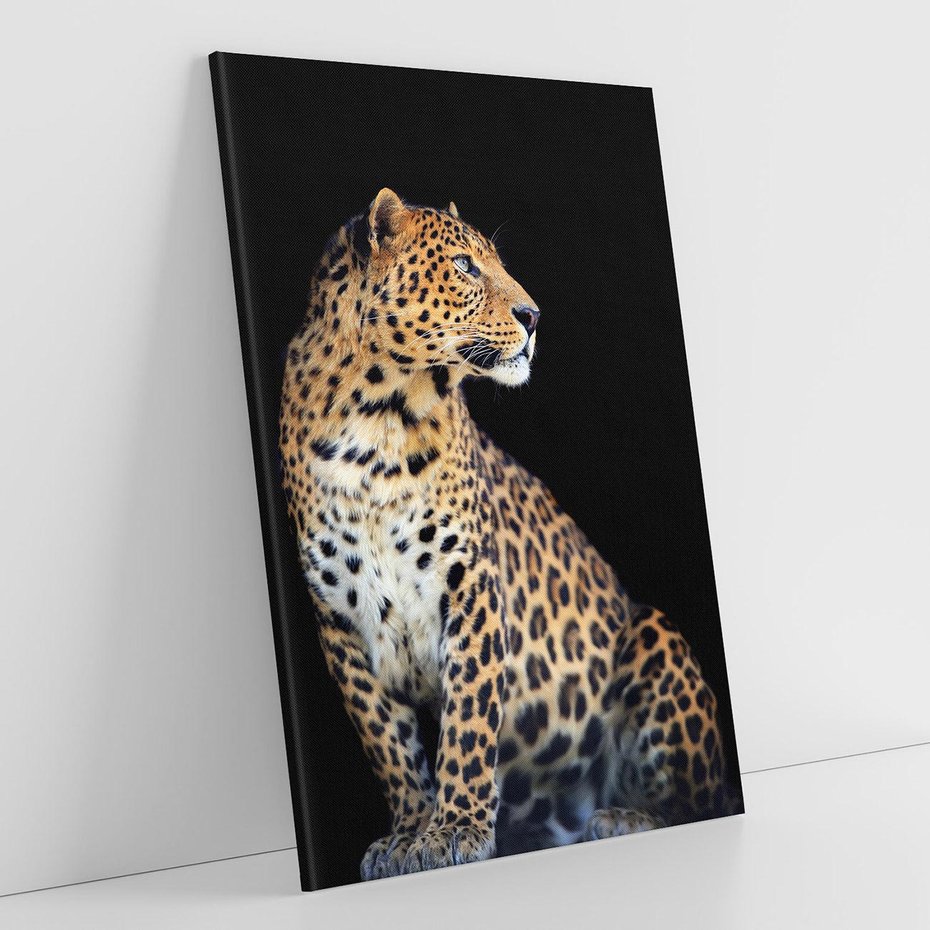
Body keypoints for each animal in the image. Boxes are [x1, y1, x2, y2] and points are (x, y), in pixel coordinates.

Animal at [279, 188, 736, 880]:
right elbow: (387, 740)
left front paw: (456, 830)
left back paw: (623, 817)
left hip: (654, 637)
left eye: (495, 262)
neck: (375, 420)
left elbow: (468, 720)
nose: (534, 314)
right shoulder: (338, 620)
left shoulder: (469, 584)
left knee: (700, 802)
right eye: (465, 266)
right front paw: (410, 832)